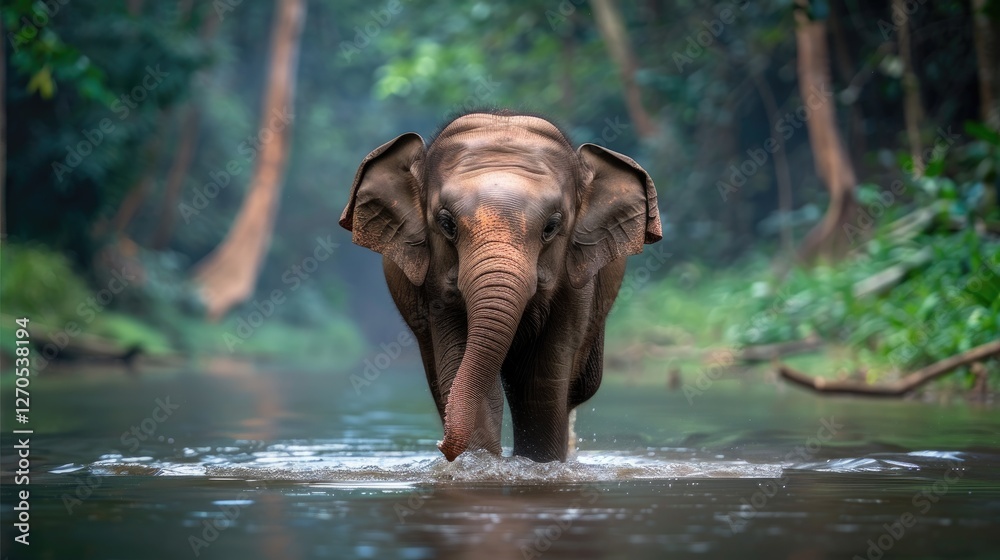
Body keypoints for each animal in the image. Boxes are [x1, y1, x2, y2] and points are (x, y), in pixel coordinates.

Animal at [340, 111, 662, 463]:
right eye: (446, 223)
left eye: (552, 226)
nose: (440, 445)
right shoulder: (433, 288)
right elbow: (464, 374)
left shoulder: (577, 287)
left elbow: (539, 388)